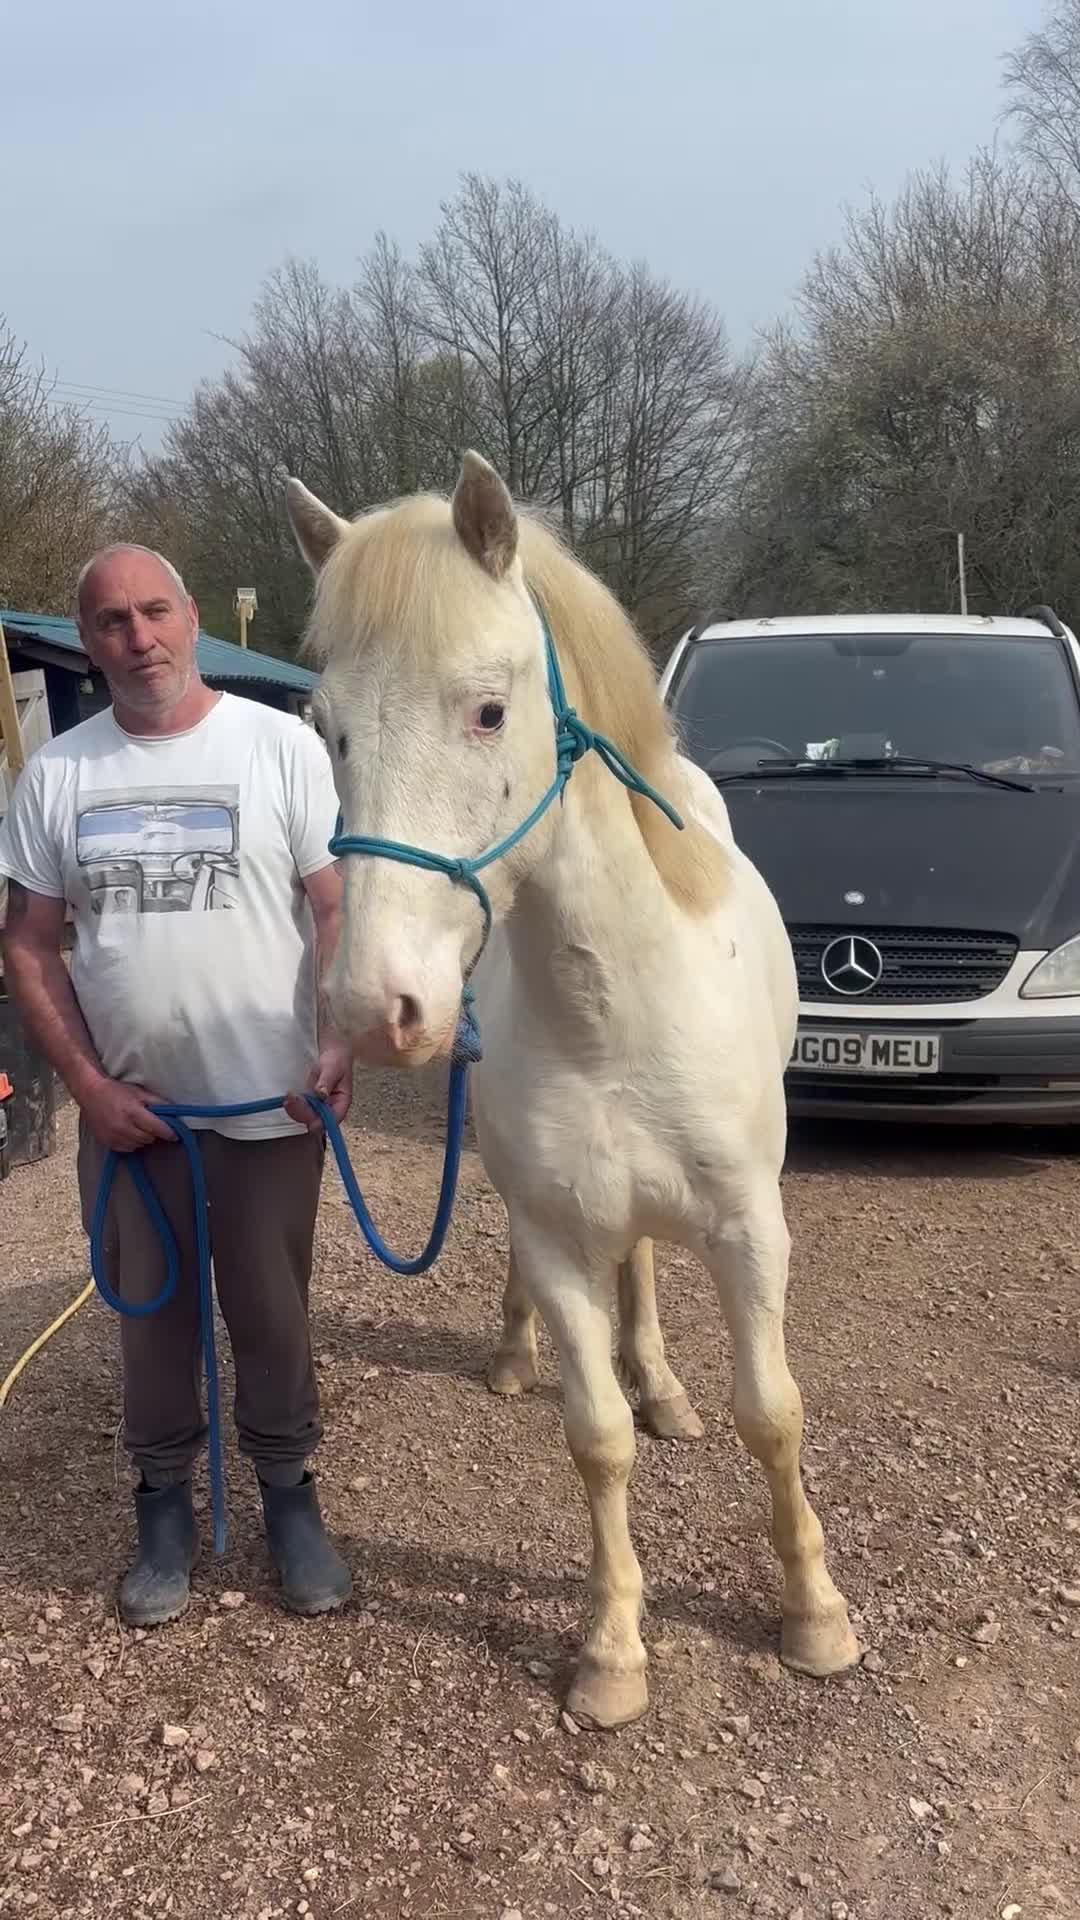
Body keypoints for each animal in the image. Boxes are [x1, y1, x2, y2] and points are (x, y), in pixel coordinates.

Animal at [285, 452, 859, 1729]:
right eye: (326, 730)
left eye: (489, 710)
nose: (373, 1008)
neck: (617, 1009)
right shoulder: (554, 1234)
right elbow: (595, 1438)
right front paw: (611, 1652)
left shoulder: (753, 1231)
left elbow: (775, 1412)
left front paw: (815, 1614)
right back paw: (519, 1356)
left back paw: (667, 1385)